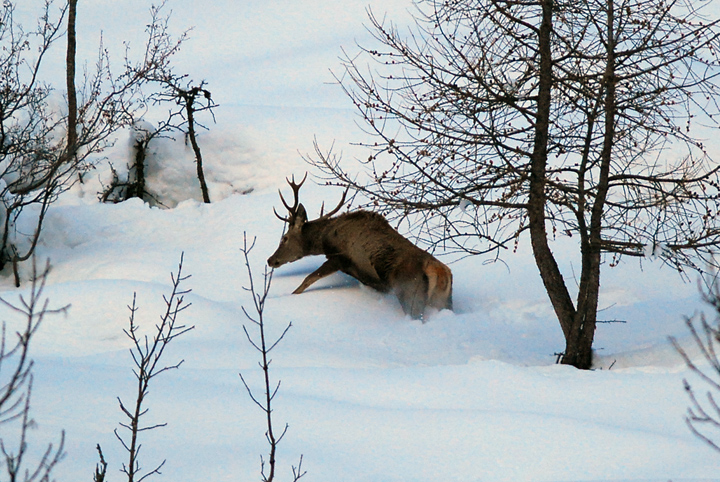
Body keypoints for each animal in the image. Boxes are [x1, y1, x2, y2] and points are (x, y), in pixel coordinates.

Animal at [268, 174, 452, 320]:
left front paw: (288, 296)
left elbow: (308, 279)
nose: (270, 260)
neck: (325, 238)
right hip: (443, 300)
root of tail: (440, 272)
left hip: (410, 294)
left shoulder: (338, 257)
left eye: (284, 238)